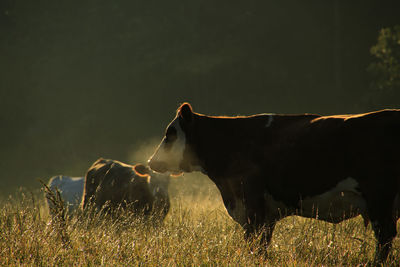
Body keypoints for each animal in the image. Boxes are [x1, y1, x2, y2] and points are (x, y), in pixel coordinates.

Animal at [148, 103, 400, 264]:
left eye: (170, 133)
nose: (151, 161)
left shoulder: (252, 204)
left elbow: (254, 242)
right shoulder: (266, 213)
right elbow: (263, 244)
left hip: (379, 198)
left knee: (384, 237)